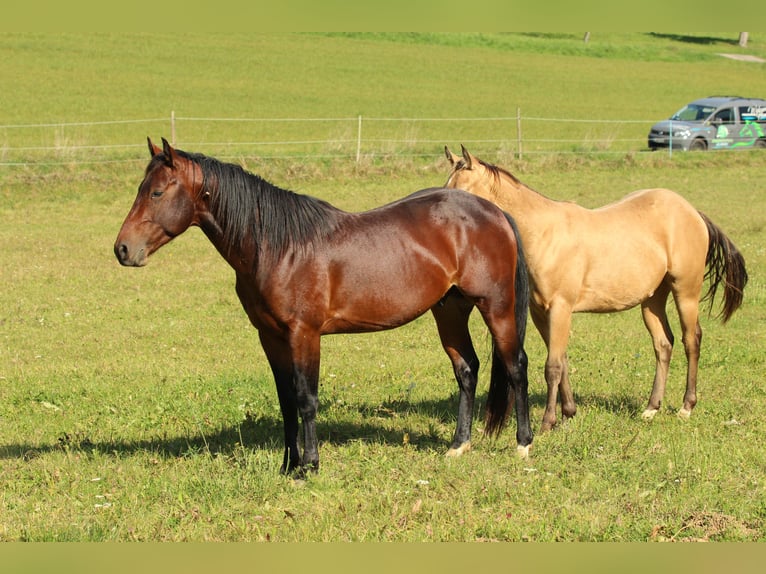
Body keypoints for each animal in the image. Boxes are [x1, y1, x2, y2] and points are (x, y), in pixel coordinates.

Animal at [114, 137, 532, 474]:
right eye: (141, 188)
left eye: (157, 192)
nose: (123, 250)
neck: (279, 247)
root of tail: (494, 212)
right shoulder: (270, 337)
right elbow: (286, 401)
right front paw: (288, 464)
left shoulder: (305, 334)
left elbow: (306, 398)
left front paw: (310, 465)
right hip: (449, 309)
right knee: (467, 369)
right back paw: (458, 446)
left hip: (496, 307)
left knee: (515, 365)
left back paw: (523, 445)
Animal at [445, 145, 748, 432]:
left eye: (464, 191)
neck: (544, 235)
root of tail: (693, 212)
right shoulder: (541, 313)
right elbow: (562, 360)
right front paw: (568, 413)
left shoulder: (561, 309)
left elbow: (553, 366)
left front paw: (548, 422)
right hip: (652, 300)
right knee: (663, 344)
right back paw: (651, 408)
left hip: (686, 292)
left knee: (691, 340)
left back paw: (686, 406)